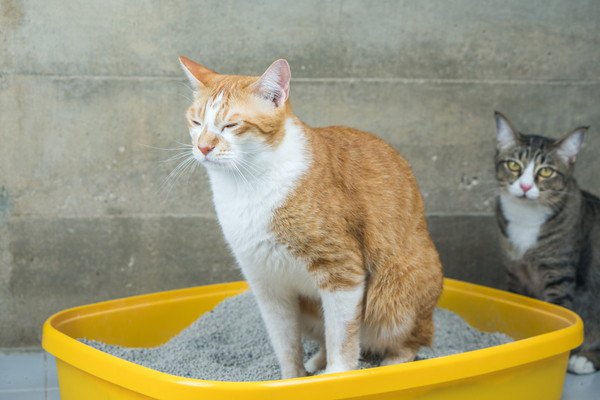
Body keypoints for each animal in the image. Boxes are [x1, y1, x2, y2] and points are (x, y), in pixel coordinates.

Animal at [176, 56, 442, 378]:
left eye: (231, 124)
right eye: (196, 122)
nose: (203, 147)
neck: (246, 185)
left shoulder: (342, 273)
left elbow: (342, 337)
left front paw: (338, 374)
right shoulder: (268, 285)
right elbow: (286, 346)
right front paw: (293, 379)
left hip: (396, 295)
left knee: (410, 340)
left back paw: (390, 364)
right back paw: (317, 362)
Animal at [494, 112, 596, 376]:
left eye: (547, 171)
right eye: (513, 165)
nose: (525, 186)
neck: (525, 218)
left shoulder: (559, 274)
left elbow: (556, 309)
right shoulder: (514, 272)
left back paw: (584, 360)